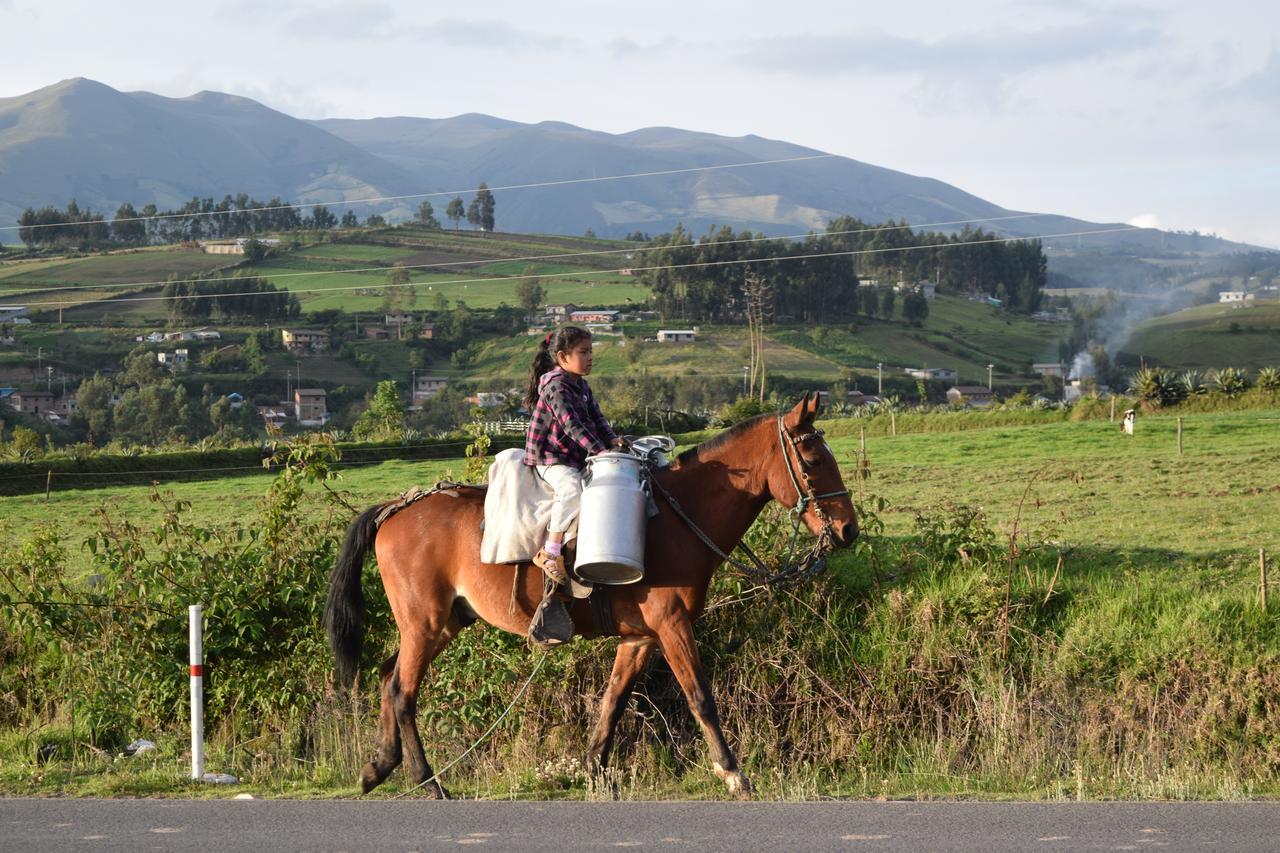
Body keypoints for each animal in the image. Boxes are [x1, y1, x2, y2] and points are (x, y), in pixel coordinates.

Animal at [325, 389, 855, 788]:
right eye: (812, 458)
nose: (848, 529)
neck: (679, 519)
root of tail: (396, 507)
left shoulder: (640, 638)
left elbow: (612, 702)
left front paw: (594, 770)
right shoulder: (672, 626)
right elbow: (700, 696)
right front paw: (732, 773)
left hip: (441, 624)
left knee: (387, 677)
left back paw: (380, 766)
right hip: (424, 622)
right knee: (401, 690)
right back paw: (427, 781)